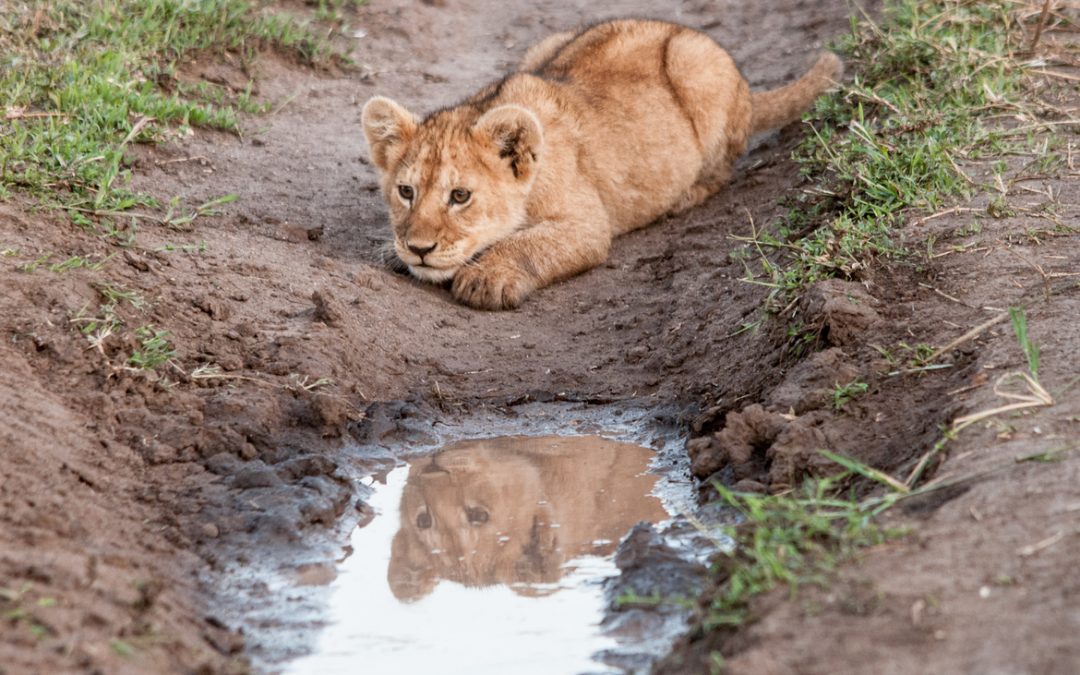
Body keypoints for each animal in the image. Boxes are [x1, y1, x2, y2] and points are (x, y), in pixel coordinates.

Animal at [361, 19, 842, 310]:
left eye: (460, 196)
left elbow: (528, 243)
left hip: (695, 67)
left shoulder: (588, 224)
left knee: (723, 166)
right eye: (406, 192)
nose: (419, 249)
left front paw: (487, 277)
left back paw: (684, 197)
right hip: (546, 46)